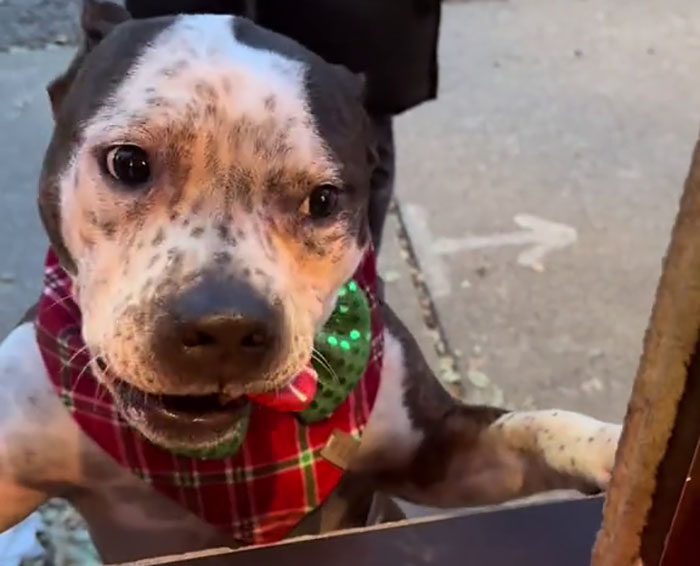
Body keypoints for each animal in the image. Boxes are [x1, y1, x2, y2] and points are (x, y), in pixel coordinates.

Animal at [0, 2, 624, 564]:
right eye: (127, 163)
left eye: (323, 201)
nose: (226, 327)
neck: (221, 469)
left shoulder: (440, 450)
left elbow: (536, 425)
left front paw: (615, 447)